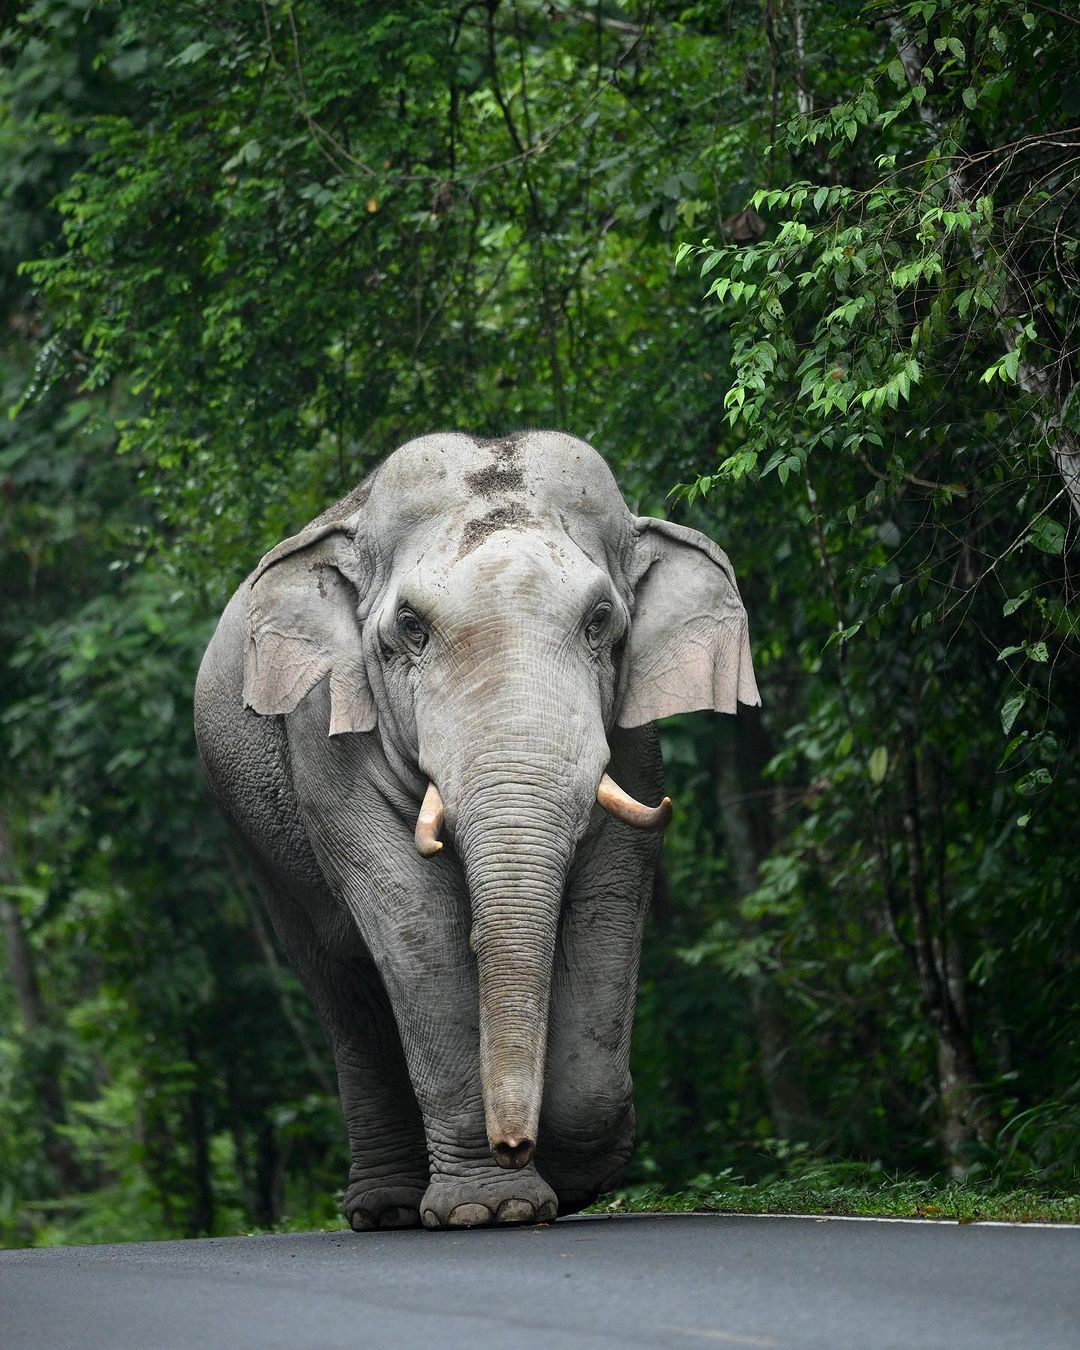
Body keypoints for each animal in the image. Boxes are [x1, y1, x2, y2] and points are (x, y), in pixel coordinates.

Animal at [195, 426, 761, 1231]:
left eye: (601, 621)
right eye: (410, 628)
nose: (513, 1143)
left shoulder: (632, 737)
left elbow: (611, 891)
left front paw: (572, 1179)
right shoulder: (323, 732)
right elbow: (413, 919)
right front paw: (490, 1209)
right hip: (259, 845)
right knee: (343, 988)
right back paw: (385, 1211)